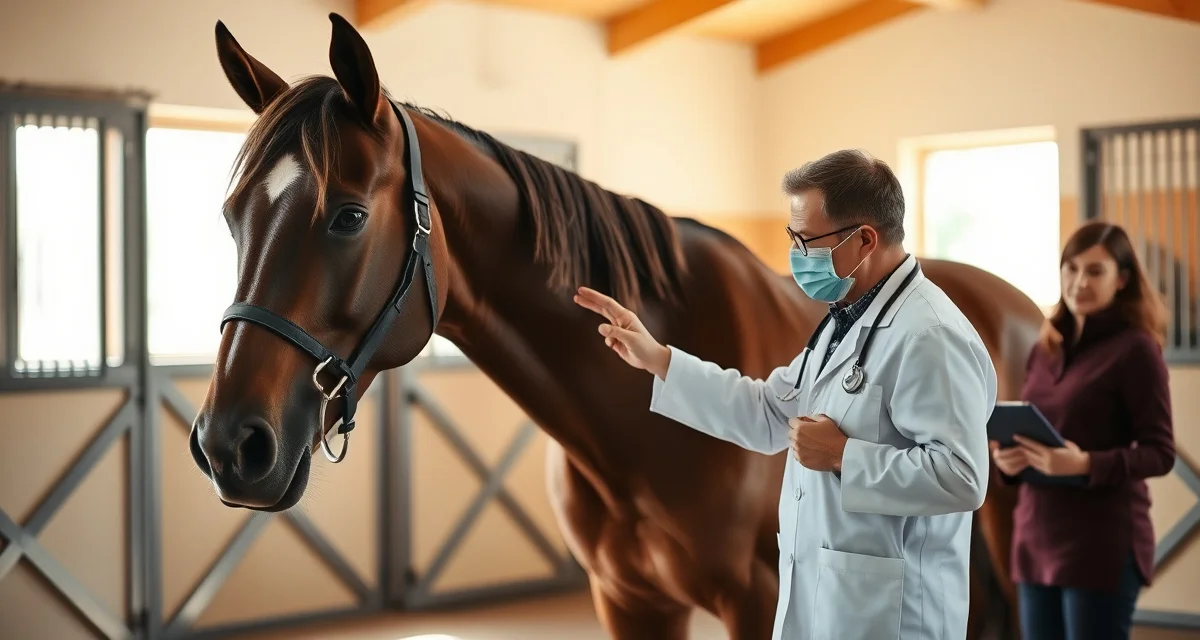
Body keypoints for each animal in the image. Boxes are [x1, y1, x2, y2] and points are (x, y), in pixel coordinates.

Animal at [189, 13, 1038, 639]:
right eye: (230, 215)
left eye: (348, 216)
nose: (231, 445)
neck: (629, 434)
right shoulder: (629, 601)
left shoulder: (760, 599)